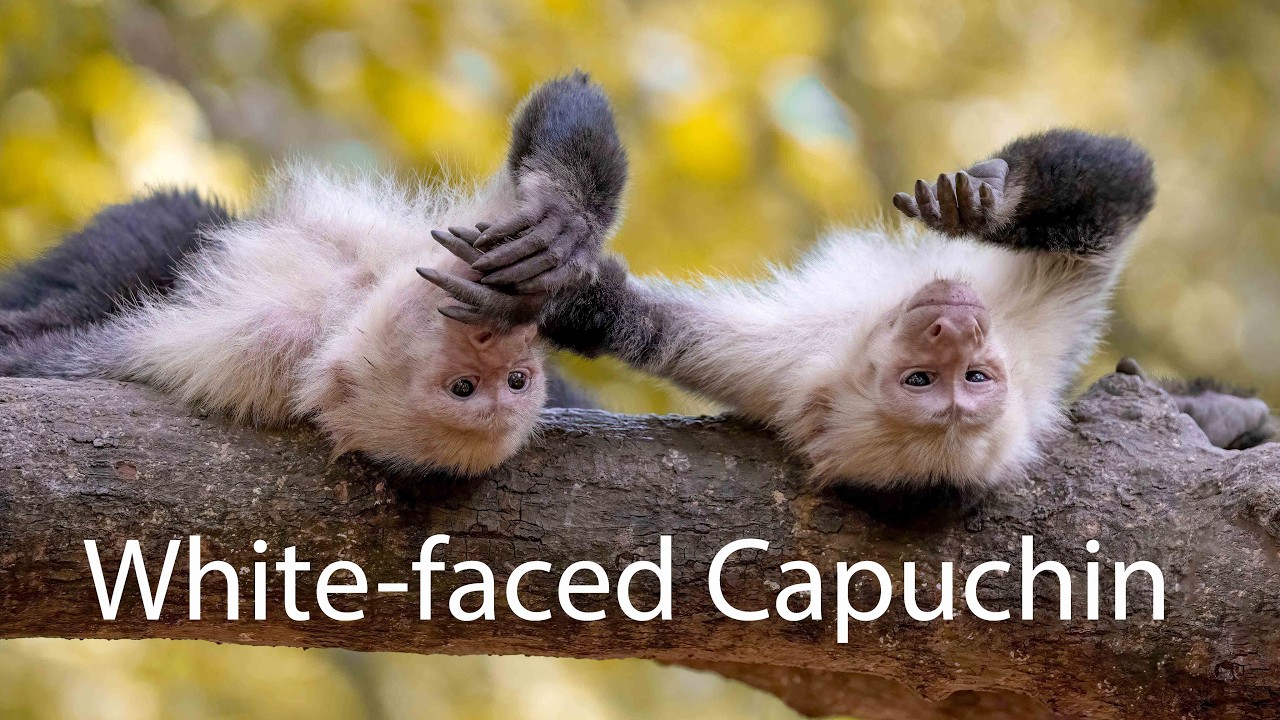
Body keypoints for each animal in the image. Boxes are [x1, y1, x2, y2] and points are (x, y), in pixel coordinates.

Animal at [0, 72, 625, 475]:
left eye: (493, 385)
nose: (493, 336)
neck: (343, 314)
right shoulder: (438, 250)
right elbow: (568, 99)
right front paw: (564, 219)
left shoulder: (260, 347)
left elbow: (49, 358)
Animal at [425, 128, 1156, 491]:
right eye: (942, 379)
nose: (954, 325)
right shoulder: (1025, 331)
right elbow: (1120, 185)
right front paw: (992, 198)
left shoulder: (781, 377)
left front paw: (552, 296)